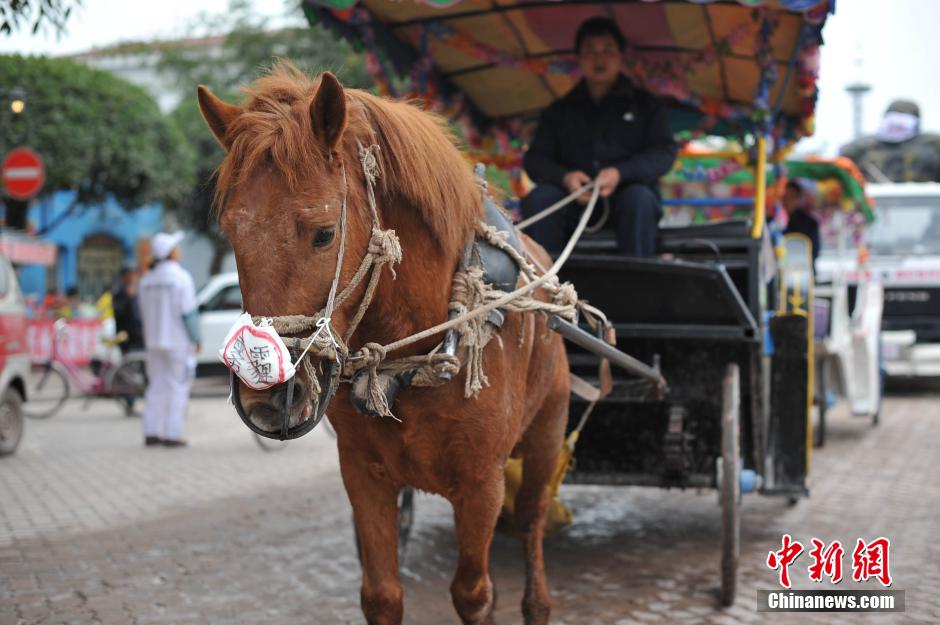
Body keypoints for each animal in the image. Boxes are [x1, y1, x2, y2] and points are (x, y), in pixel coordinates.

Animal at [195, 64, 568, 624]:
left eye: (324, 234)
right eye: (232, 233)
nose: (267, 394)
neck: (417, 357)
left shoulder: (482, 483)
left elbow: (473, 593)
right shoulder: (363, 475)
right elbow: (382, 595)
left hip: (546, 433)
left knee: (531, 521)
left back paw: (537, 599)